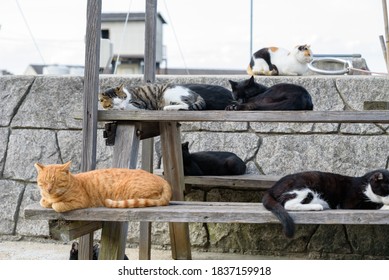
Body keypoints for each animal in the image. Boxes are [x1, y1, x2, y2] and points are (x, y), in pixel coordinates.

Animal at [34, 162, 171, 212]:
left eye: (55, 182)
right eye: (44, 182)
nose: (48, 189)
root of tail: (163, 180)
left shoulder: (81, 201)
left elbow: (57, 206)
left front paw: (53, 203)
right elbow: (43, 201)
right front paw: (46, 201)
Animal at [260, 168, 388, 238]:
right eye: (387, 188)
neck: (365, 186)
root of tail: (272, 187)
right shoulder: (351, 203)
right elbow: (375, 204)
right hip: (303, 187)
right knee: (287, 204)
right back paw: (317, 206)